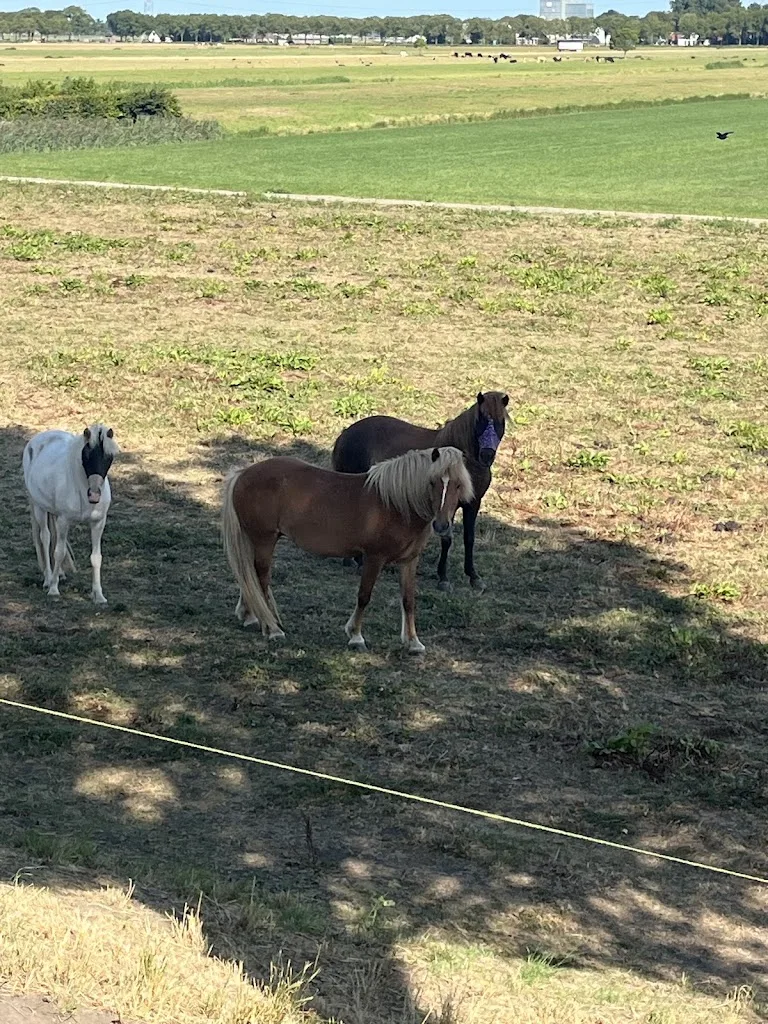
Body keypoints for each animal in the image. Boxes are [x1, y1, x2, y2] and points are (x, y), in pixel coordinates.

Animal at [22, 424, 119, 604]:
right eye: (86, 455)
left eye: (109, 457)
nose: (94, 495)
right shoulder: (64, 521)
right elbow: (58, 552)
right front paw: (54, 589)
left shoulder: (98, 523)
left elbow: (96, 557)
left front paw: (98, 595)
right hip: (39, 508)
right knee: (45, 537)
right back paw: (48, 579)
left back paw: (58, 573)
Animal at [221, 447, 473, 654]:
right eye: (432, 482)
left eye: (458, 485)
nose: (441, 526)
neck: (396, 504)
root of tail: (242, 473)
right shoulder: (373, 558)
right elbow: (364, 596)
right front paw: (356, 636)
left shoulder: (409, 561)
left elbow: (408, 600)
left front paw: (413, 642)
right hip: (265, 539)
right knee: (261, 578)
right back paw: (272, 628)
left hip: (255, 539)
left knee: (249, 576)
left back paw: (250, 617)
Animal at [331, 392, 509, 593]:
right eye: (481, 419)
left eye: (501, 421)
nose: (487, 455)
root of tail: (346, 433)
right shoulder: (448, 506)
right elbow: (447, 539)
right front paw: (443, 578)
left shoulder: (473, 503)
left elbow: (469, 539)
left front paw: (473, 576)